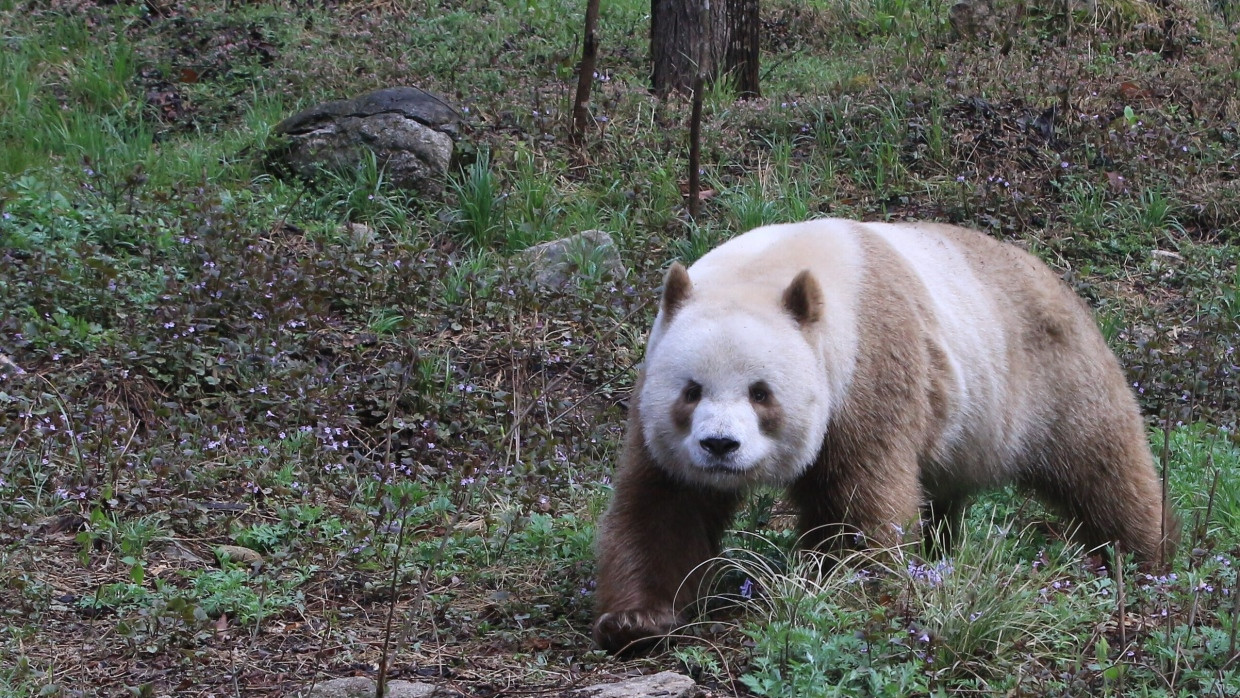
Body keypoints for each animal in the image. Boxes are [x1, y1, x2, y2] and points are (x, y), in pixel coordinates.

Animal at [593, 218, 1176, 654]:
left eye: (761, 393)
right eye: (691, 391)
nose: (719, 446)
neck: (770, 270)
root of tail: (1049, 272)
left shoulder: (866, 366)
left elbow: (860, 500)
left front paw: (847, 591)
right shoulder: (654, 395)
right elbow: (665, 503)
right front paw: (637, 622)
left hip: (1045, 375)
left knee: (1101, 463)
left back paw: (1146, 558)